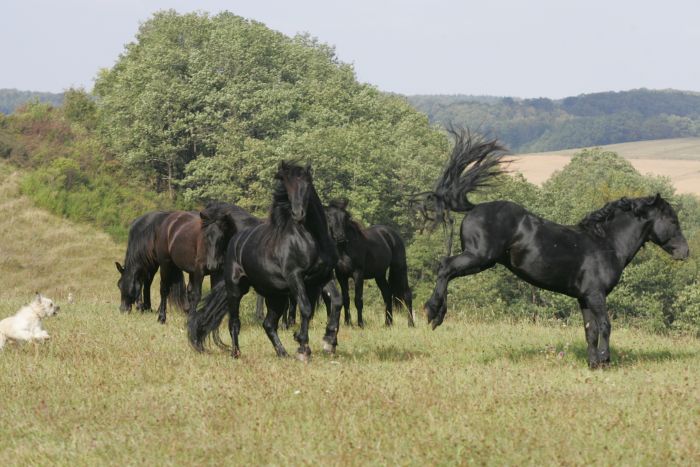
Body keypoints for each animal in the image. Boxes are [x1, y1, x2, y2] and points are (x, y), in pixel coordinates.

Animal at [189, 162, 342, 362]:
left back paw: (283, 353)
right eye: (287, 187)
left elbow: (337, 301)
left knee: (268, 324)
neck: (312, 238)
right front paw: (303, 348)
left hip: (275, 295)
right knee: (234, 322)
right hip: (236, 289)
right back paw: (236, 353)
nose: (298, 213)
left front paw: (329, 341)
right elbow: (306, 308)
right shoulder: (295, 277)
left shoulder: (323, 276)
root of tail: (236, 241)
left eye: (307, 185)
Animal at [324, 199, 416, 328]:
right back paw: (388, 323)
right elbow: (346, 299)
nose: (340, 237)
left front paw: (360, 324)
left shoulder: (358, 274)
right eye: (328, 217)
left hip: (400, 268)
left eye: (345, 217)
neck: (344, 249)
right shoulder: (341, 276)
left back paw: (411, 324)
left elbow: (358, 299)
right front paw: (348, 323)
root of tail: (392, 234)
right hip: (379, 275)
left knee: (407, 294)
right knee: (387, 294)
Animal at [422, 129, 688, 370]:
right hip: (478, 258)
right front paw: (605, 360)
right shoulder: (596, 294)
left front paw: (593, 364)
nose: (684, 252)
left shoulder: (584, 298)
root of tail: (473, 208)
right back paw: (433, 312)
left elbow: (590, 331)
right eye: (672, 220)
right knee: (445, 267)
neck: (606, 243)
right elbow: (605, 326)